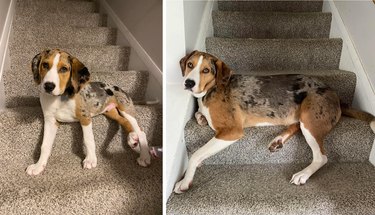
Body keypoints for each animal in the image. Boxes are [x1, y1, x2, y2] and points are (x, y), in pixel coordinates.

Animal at [175, 50, 375, 193]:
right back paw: (278, 140)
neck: (211, 89)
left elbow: (196, 154)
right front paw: (201, 117)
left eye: (206, 70)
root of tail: (336, 95)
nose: (189, 83)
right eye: (190, 65)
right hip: (304, 118)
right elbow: (199, 117)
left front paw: (185, 181)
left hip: (309, 117)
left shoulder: (231, 132)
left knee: (321, 157)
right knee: (296, 126)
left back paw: (302, 174)